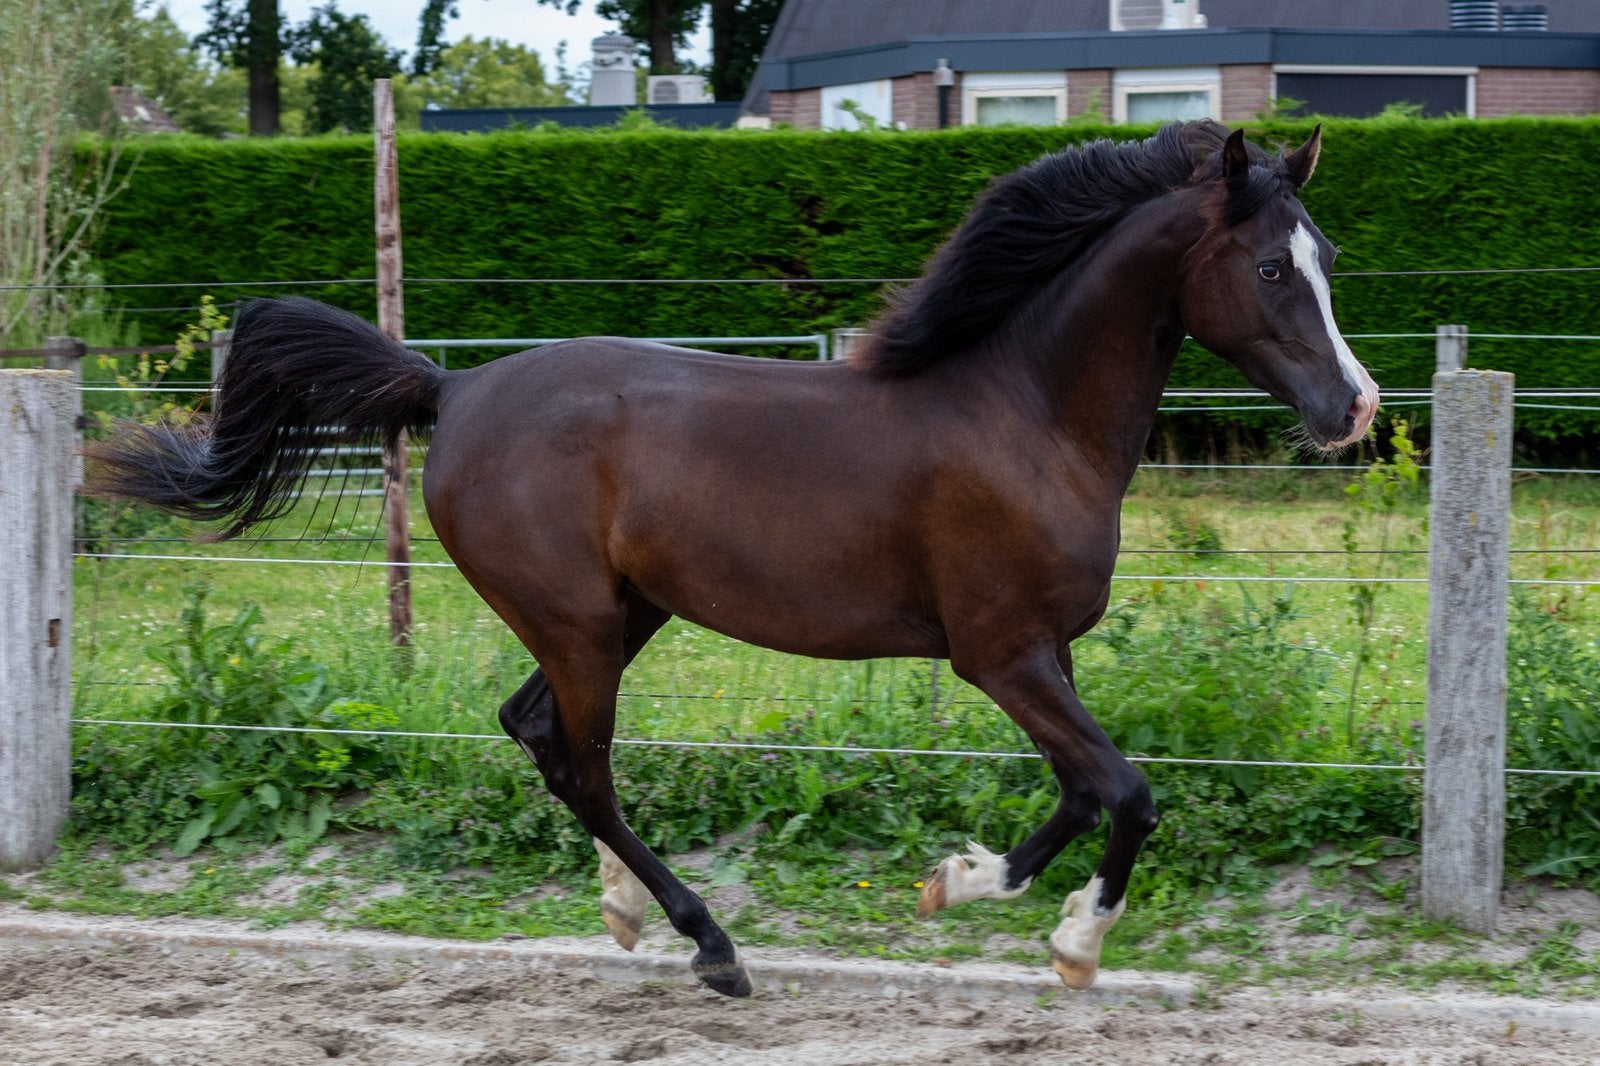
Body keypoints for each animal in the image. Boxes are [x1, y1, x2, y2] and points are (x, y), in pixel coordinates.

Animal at [86, 121, 1378, 998]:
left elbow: (1080, 788)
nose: (1354, 408)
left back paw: (626, 914)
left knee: (536, 733)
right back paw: (708, 943)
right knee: (584, 763)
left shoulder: (1042, 653)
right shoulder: (1000, 654)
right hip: (579, 623)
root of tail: (450, 389)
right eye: (1271, 268)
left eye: (1326, 256)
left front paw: (964, 882)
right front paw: (1061, 938)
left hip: (622, 613)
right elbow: (1126, 787)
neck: (1022, 413)